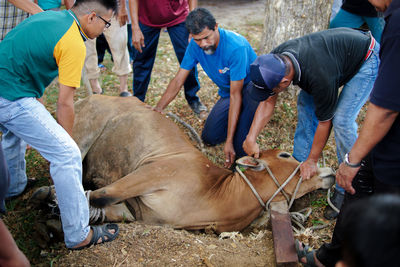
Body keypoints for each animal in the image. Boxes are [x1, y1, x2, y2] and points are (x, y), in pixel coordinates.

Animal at [34, 95, 334, 233]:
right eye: (284, 155)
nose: (329, 171)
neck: (215, 194)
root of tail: (91, 96)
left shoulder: (137, 213)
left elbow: (102, 207)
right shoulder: (152, 173)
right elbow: (101, 195)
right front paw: (55, 204)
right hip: (80, 134)